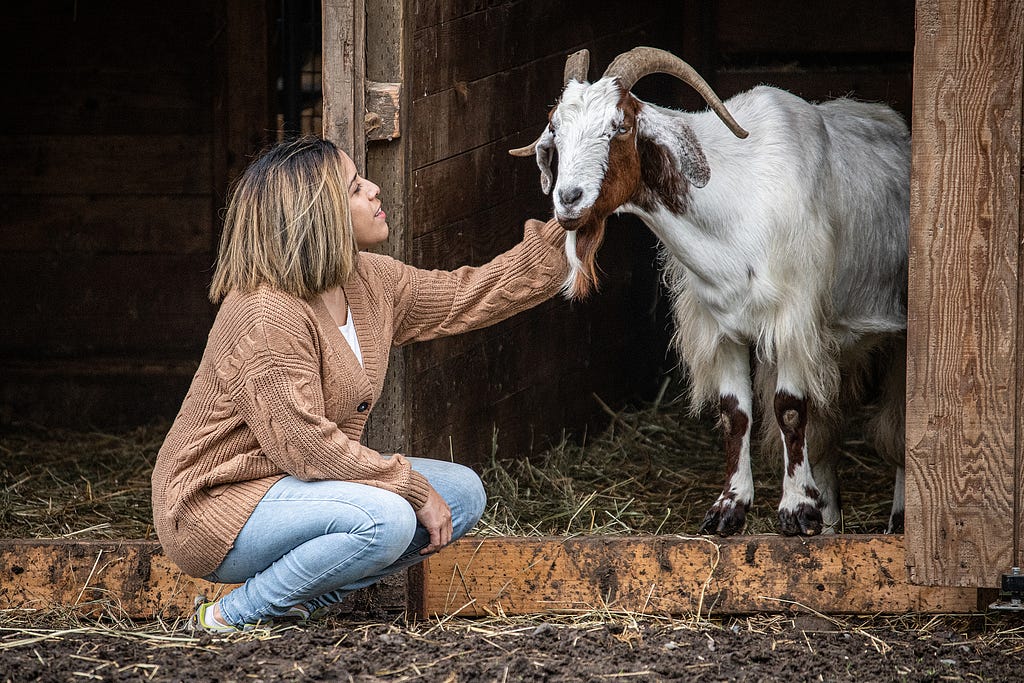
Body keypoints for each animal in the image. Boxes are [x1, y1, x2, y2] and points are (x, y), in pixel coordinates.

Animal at [516, 49, 909, 540]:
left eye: (620, 126)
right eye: (555, 129)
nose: (569, 199)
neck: (735, 204)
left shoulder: (794, 320)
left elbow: (789, 410)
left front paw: (796, 510)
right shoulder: (721, 327)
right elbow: (735, 413)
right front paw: (730, 508)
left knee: (897, 426)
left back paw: (896, 518)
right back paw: (831, 521)